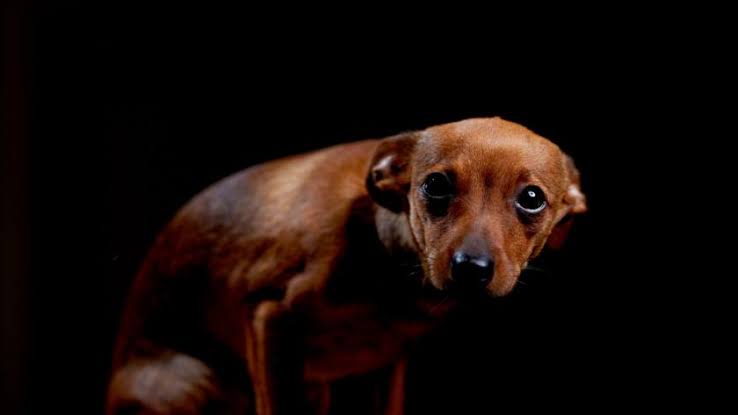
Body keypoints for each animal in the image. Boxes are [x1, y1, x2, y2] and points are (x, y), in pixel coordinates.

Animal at [105, 118, 588, 415]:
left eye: (532, 199)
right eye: (435, 185)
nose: (472, 267)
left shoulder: (387, 365)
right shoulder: (271, 318)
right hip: (194, 384)